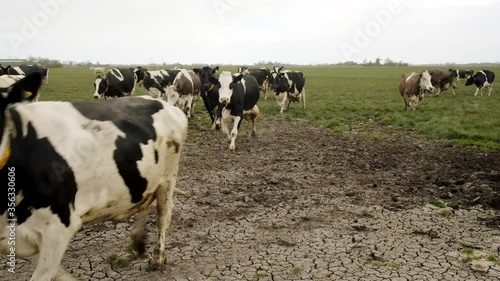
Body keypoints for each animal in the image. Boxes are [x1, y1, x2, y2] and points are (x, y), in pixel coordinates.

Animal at [0, 72, 188, 280]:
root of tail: (164, 104)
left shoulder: (57, 230)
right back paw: (139, 243)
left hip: (168, 178)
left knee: (163, 216)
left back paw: (157, 259)